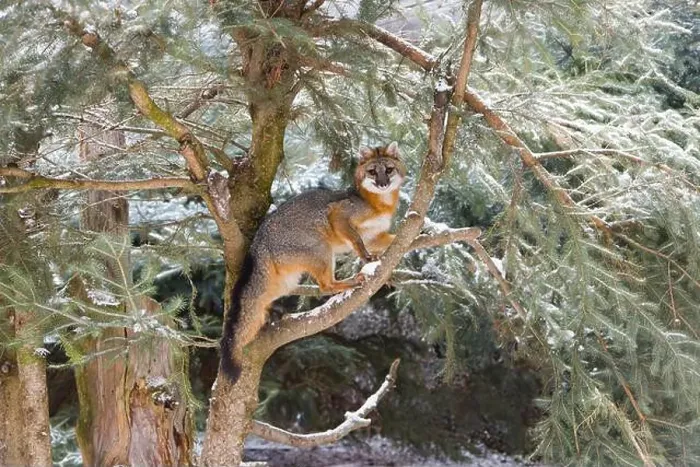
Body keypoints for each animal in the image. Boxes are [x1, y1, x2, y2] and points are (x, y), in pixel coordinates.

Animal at [220, 141, 406, 382]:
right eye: (373, 172)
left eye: (389, 170)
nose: (383, 183)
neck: (378, 205)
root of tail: (259, 242)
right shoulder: (339, 215)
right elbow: (357, 242)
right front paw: (367, 259)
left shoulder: (375, 237)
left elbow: (397, 238)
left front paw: (425, 233)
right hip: (323, 250)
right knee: (325, 286)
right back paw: (352, 281)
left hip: (284, 284)